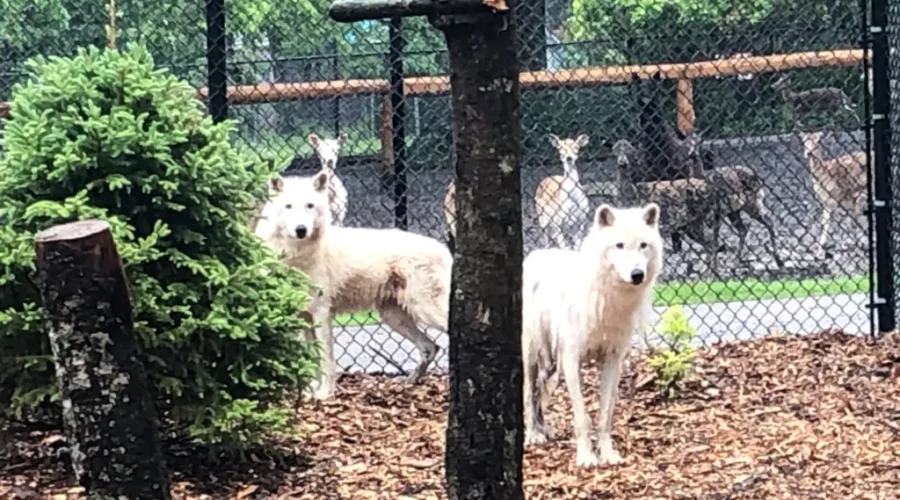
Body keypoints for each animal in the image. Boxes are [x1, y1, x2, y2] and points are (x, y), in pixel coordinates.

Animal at [256, 171, 451, 400]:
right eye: (288, 206)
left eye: (309, 206)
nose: (301, 230)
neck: (295, 255)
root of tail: (444, 249)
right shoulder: (303, 316)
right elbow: (313, 360)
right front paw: (312, 392)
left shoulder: (321, 313)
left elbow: (326, 360)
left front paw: (325, 394)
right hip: (394, 317)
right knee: (430, 347)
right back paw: (408, 382)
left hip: (424, 310)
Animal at [521, 202, 664, 467]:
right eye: (619, 245)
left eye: (643, 245)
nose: (637, 274)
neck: (607, 298)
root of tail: (535, 254)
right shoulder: (571, 361)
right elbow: (582, 417)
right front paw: (586, 457)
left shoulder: (613, 361)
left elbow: (605, 416)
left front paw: (607, 454)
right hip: (532, 358)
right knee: (528, 394)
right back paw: (533, 434)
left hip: (551, 366)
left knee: (539, 395)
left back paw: (543, 429)